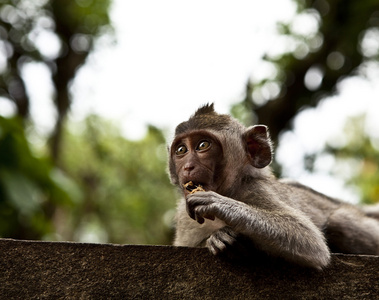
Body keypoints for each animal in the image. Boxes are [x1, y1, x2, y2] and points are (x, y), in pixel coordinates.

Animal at [171, 103, 379, 270]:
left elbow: (310, 242)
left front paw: (218, 206)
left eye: (202, 145)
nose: (188, 167)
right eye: (181, 150)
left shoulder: (255, 189)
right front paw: (216, 238)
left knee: (339, 221)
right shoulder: (184, 216)